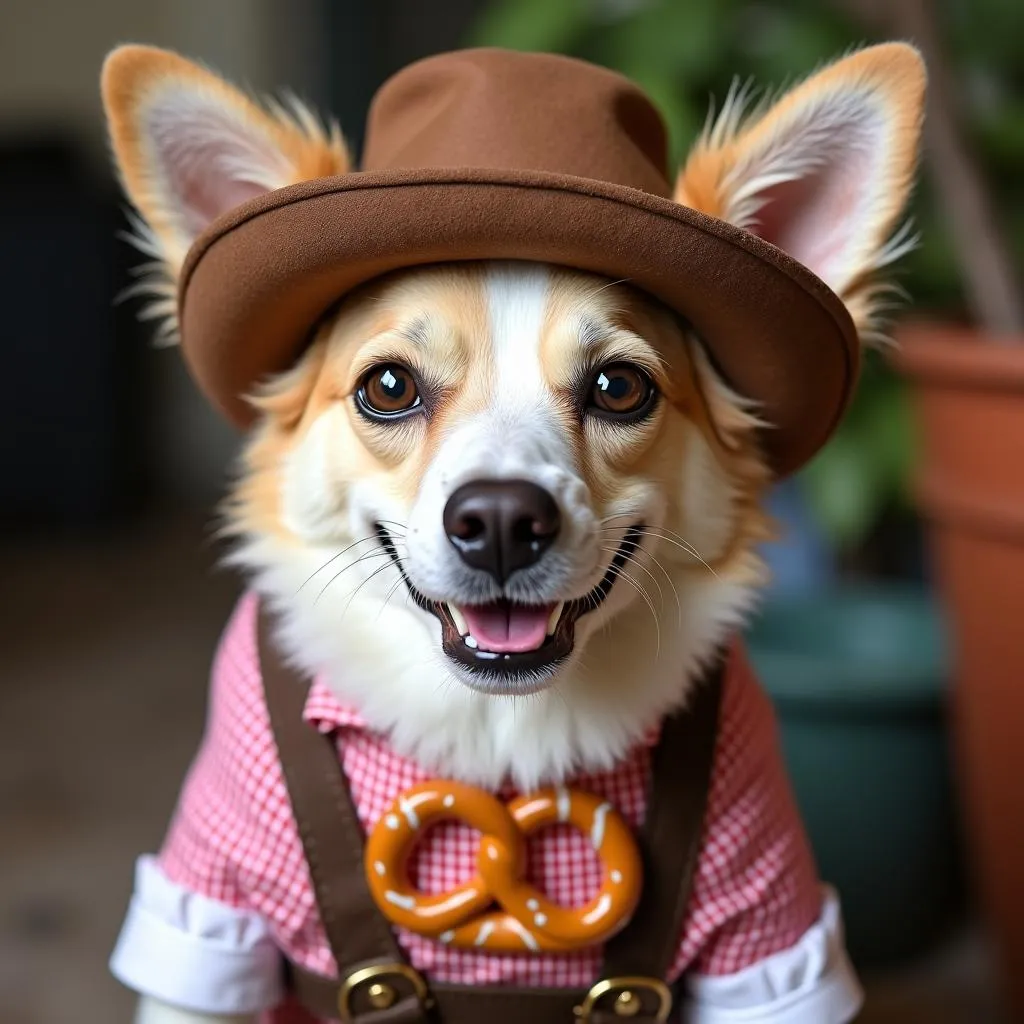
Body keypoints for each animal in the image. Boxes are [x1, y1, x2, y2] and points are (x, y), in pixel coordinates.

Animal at [99, 39, 925, 1024]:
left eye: (619, 387)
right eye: (387, 386)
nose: (499, 522)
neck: (496, 737)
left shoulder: (767, 936)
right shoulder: (211, 909)